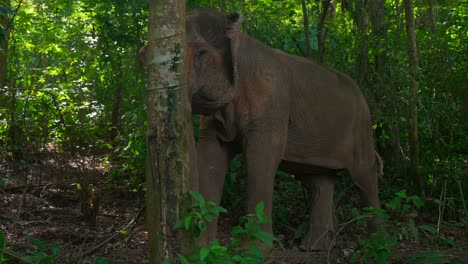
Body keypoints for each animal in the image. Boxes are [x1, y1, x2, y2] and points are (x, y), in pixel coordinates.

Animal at [143, 7, 384, 251]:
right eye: (144, 55)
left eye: (201, 52)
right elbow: (211, 157)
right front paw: (206, 249)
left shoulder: (271, 104)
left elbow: (260, 158)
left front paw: (254, 250)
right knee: (319, 180)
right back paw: (314, 247)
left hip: (362, 127)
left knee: (364, 175)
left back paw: (376, 243)